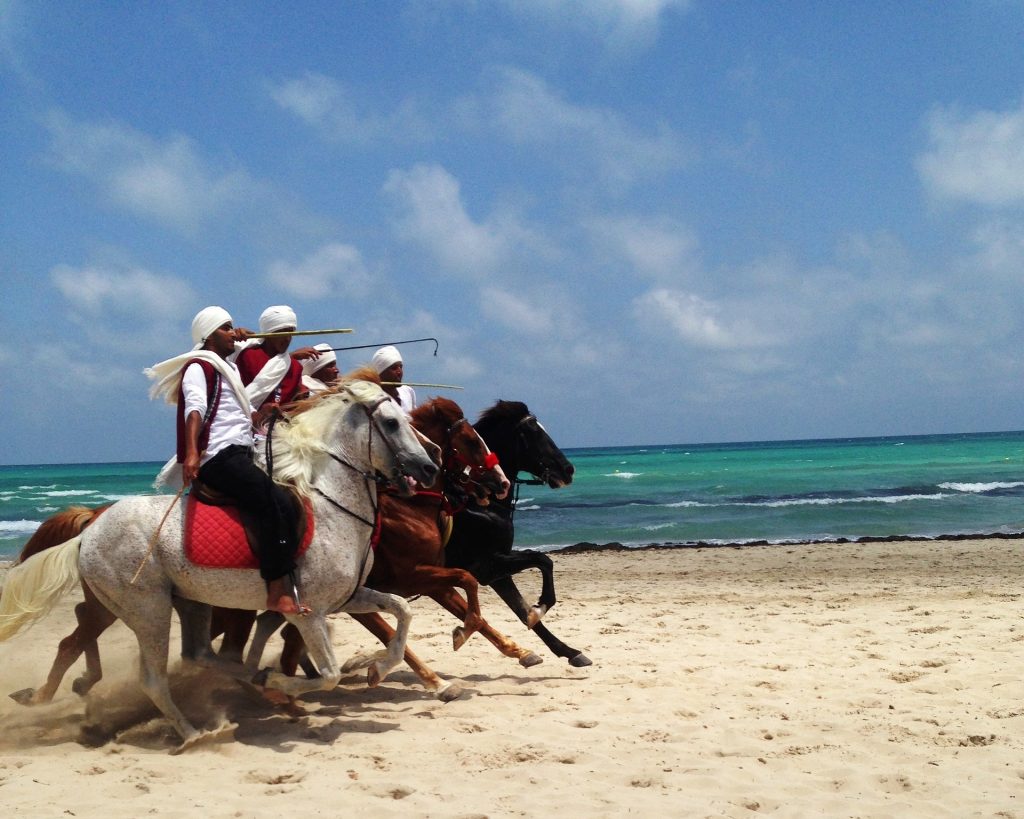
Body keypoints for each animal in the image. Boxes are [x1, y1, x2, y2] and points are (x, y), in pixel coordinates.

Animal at [0, 380, 436, 753]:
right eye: (392, 422)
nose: (430, 468)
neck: (333, 508)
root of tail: (88, 531)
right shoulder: (307, 613)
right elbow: (328, 676)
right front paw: (289, 679)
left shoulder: (348, 598)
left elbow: (402, 610)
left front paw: (376, 668)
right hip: (148, 610)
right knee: (154, 678)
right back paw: (198, 732)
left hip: (189, 603)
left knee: (199, 655)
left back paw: (253, 682)